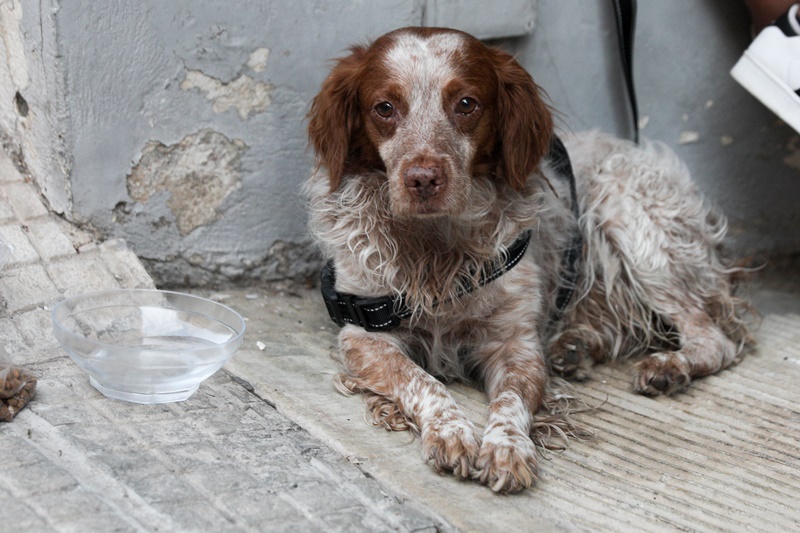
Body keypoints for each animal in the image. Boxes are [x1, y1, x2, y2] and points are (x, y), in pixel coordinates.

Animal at [304, 25, 752, 490]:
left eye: (467, 104)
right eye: (385, 108)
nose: (423, 178)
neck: (437, 250)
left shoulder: (515, 343)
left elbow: (510, 402)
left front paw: (507, 447)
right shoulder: (365, 335)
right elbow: (422, 381)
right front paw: (451, 431)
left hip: (626, 213)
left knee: (714, 337)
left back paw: (668, 366)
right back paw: (574, 347)